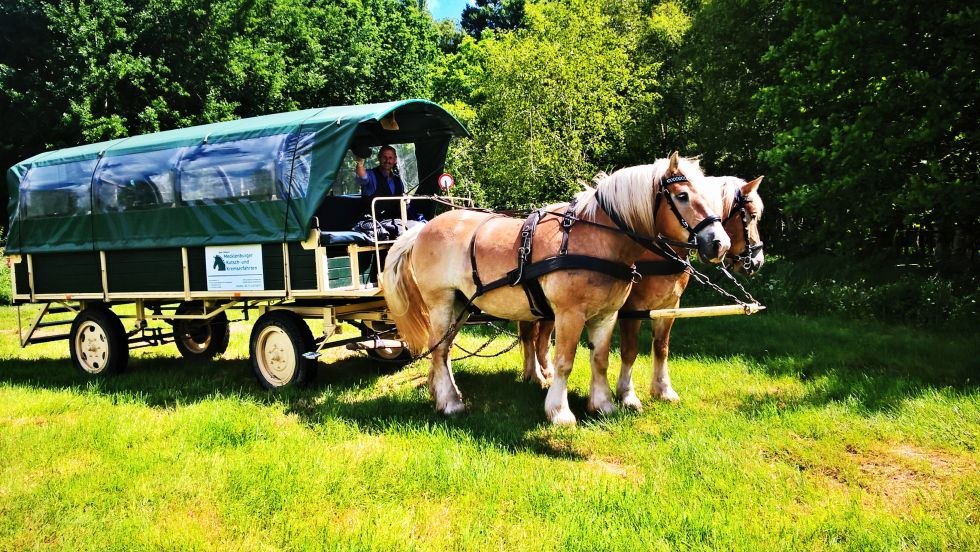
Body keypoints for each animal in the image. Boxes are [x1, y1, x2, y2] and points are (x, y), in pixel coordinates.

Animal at [380, 153, 728, 424]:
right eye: (682, 196)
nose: (719, 244)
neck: (597, 239)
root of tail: (423, 229)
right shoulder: (569, 314)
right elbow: (564, 360)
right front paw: (560, 412)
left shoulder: (607, 315)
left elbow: (600, 358)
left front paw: (603, 405)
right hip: (440, 303)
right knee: (439, 349)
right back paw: (450, 403)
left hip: (461, 305)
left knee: (446, 350)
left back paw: (443, 395)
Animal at [520, 175, 764, 408]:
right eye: (752, 216)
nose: (756, 262)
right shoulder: (632, 309)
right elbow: (630, 350)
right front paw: (626, 395)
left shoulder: (670, 306)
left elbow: (661, 348)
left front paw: (663, 390)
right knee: (535, 337)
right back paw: (539, 375)